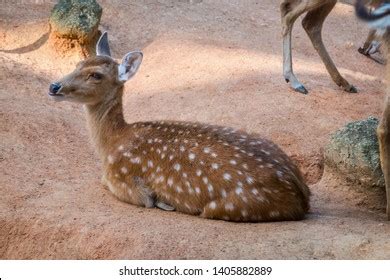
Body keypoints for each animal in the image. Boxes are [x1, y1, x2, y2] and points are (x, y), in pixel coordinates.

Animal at [48, 31, 310, 222]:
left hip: (229, 206)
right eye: (79, 63)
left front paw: (161, 201)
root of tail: (303, 198)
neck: (112, 143)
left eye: (96, 75)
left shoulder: (124, 182)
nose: (54, 86)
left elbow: (119, 187)